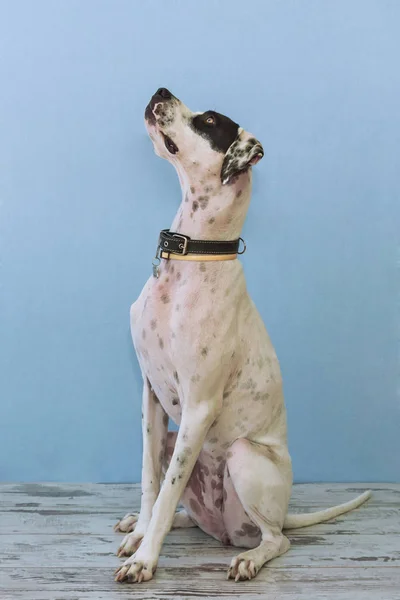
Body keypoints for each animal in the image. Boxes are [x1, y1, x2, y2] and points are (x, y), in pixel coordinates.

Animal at [114, 88, 370, 580]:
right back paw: (143, 522)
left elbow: (167, 489)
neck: (195, 255)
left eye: (210, 120)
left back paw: (250, 558)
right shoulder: (151, 397)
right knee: (182, 512)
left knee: (278, 540)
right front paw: (141, 533)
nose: (160, 91)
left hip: (243, 456)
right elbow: (151, 481)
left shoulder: (198, 407)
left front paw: (144, 560)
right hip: (180, 445)